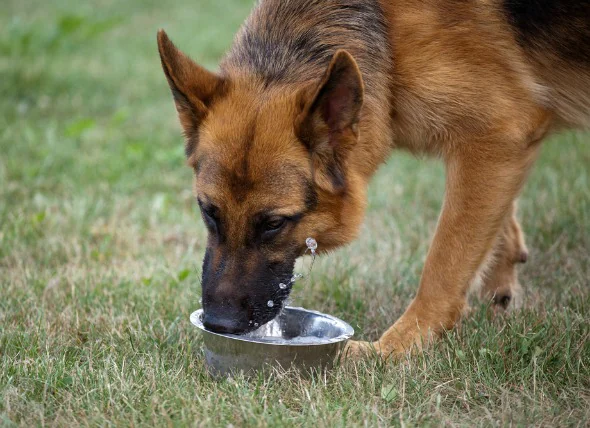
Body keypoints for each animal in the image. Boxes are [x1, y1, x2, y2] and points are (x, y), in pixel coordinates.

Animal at [157, 0, 590, 360]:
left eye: (274, 223)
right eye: (208, 212)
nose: (218, 324)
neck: (389, 34)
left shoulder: (497, 135)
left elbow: (445, 262)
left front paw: (394, 350)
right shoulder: (500, 151)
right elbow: (488, 224)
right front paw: (502, 269)